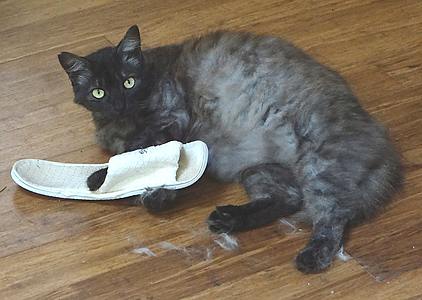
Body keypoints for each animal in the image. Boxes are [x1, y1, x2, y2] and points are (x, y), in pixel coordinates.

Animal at [58, 25, 402, 274]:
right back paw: (229, 219)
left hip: (318, 164)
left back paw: (311, 257)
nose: (119, 104)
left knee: (331, 215)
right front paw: (154, 193)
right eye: (99, 92)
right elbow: (149, 165)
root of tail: (382, 142)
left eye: (128, 82)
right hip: (257, 169)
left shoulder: (171, 118)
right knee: (289, 198)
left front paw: (104, 178)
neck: (124, 121)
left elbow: (136, 152)